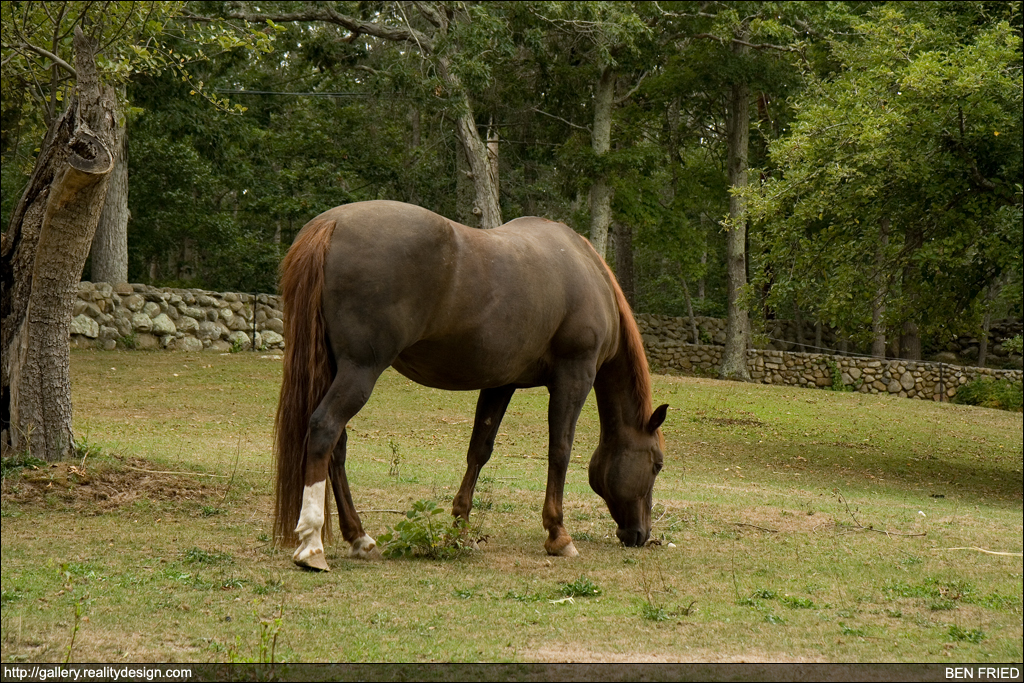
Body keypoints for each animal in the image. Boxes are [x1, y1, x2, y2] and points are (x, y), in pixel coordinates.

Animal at [276, 198, 667, 573]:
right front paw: (558, 534)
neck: (586, 271)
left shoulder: (501, 383)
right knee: (325, 429)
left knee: (337, 446)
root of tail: (331, 224)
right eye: (658, 464)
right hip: (360, 371)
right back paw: (312, 545)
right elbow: (560, 450)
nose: (640, 534)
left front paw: (459, 531)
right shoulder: (574, 377)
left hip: (335, 369)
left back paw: (359, 538)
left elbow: (479, 450)